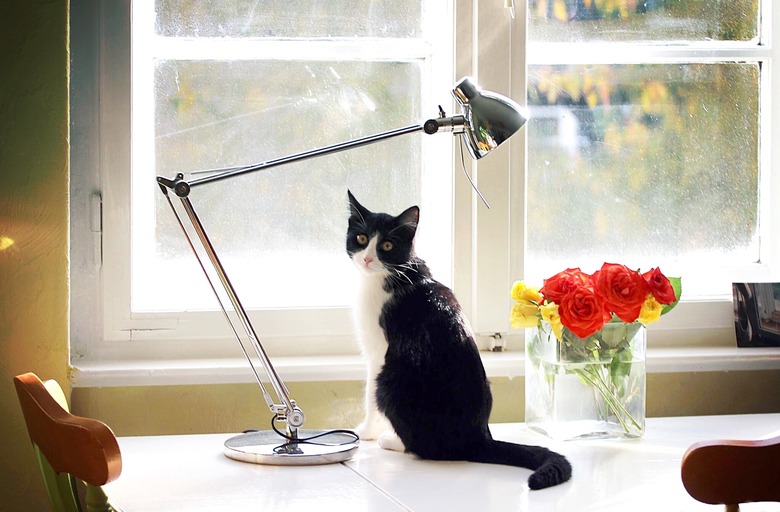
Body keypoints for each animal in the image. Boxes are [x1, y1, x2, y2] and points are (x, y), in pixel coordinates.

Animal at [348, 190, 572, 490]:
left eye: (386, 245)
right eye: (361, 239)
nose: (368, 259)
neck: (394, 275)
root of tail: (478, 439)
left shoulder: (377, 352)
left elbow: (369, 397)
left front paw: (367, 431)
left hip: (390, 380)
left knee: (423, 445)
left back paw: (393, 441)